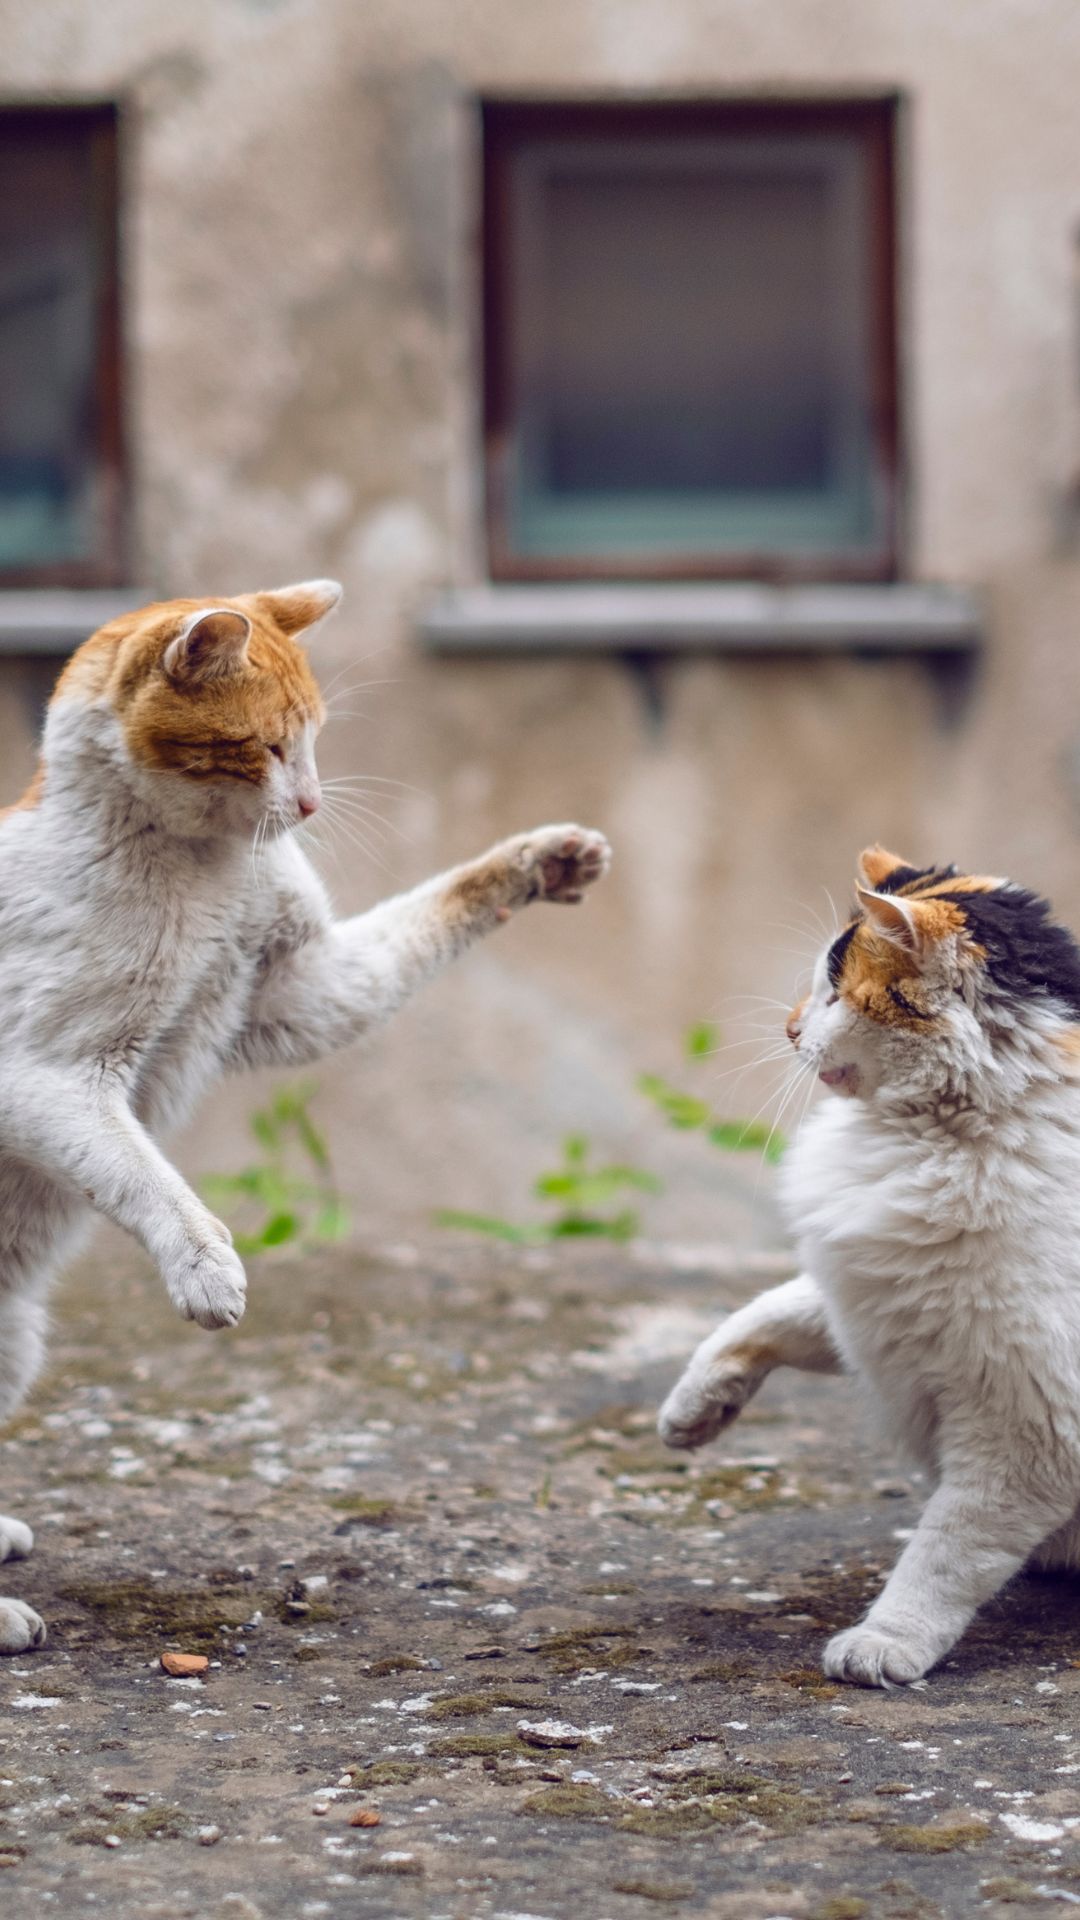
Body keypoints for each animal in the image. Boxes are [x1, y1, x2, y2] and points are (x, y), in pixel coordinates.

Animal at [0, 579, 611, 1651]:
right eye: (270, 745)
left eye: (317, 739)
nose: (316, 803)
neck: (204, 866)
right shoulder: (49, 1078)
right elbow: (150, 1180)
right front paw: (208, 1272)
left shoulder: (301, 990)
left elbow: (435, 910)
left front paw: (544, 860)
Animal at [657, 848, 1080, 1689]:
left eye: (831, 991)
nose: (789, 1027)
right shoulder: (871, 1295)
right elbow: (759, 1316)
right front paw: (692, 1413)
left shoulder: (1029, 1426)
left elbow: (947, 1550)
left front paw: (886, 1643)